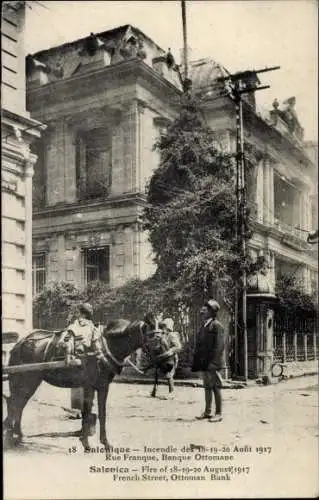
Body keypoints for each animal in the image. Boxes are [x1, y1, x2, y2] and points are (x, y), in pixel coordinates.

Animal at [3, 320, 169, 454]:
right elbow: (87, 413)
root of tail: (19, 344)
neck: (103, 347)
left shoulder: (103, 386)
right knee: (14, 404)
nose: (170, 364)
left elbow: (102, 414)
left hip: (30, 381)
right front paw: (86, 444)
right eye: (156, 342)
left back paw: (17, 435)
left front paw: (105, 443)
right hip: (25, 380)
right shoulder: (89, 386)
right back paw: (11, 435)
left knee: (17, 404)